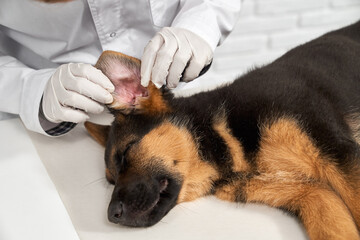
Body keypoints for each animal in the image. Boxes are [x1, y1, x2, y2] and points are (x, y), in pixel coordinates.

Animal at [85, 21, 360, 239]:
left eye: (127, 152)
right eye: (110, 180)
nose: (112, 215)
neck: (223, 134)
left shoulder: (339, 153)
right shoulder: (312, 194)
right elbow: (335, 226)